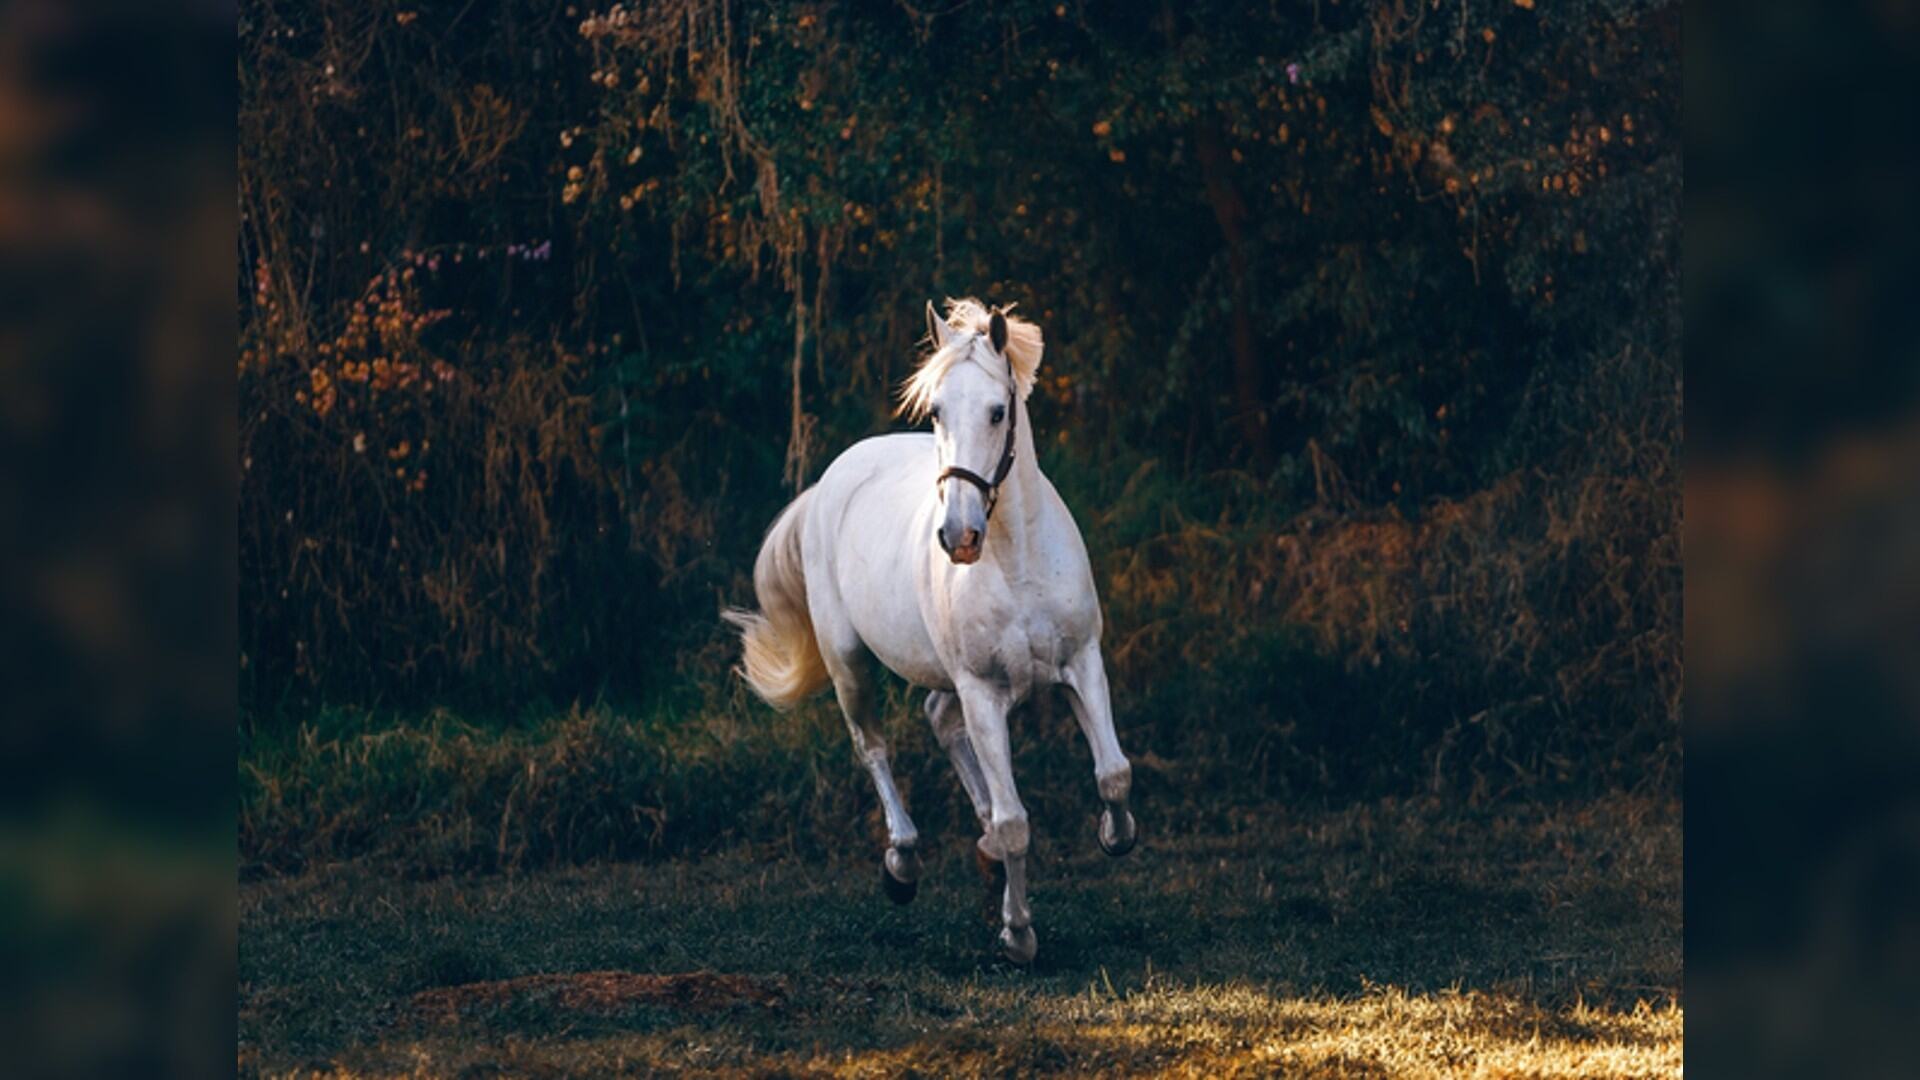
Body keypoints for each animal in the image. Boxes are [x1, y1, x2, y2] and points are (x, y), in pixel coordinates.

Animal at [723, 298, 1137, 964]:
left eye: (998, 411)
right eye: (937, 410)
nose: (958, 537)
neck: (1016, 560)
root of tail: (830, 482)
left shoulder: (1082, 663)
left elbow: (1113, 775)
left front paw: (1110, 835)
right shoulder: (982, 692)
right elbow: (1017, 822)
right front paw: (1018, 934)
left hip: (945, 677)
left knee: (938, 720)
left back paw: (981, 852)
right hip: (849, 662)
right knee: (874, 747)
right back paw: (903, 864)